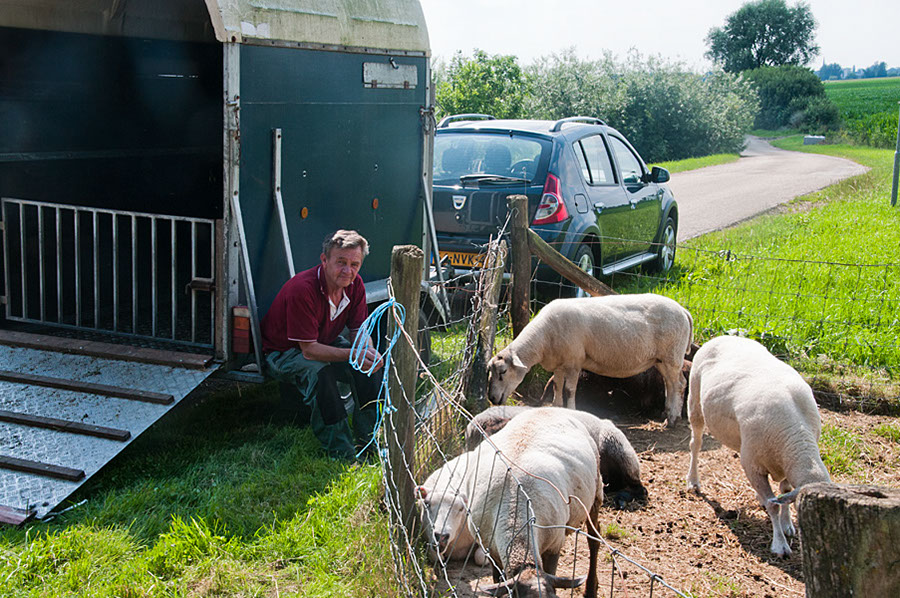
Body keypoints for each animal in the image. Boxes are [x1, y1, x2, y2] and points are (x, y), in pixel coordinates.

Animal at [460, 408, 628, 598]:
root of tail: (546, 409)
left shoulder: (554, 546)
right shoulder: (491, 551)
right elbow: (498, 580)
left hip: (595, 493)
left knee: (594, 538)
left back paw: (591, 588)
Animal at [488, 294, 692, 426]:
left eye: (503, 372)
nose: (492, 398)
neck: (543, 339)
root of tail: (683, 311)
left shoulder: (574, 362)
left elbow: (569, 390)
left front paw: (571, 410)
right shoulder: (559, 364)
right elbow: (557, 387)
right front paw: (556, 408)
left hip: (672, 356)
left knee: (679, 384)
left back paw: (672, 419)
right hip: (661, 359)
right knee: (670, 385)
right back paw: (667, 412)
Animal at [684, 338, 832, 556]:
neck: (796, 438)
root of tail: (723, 337)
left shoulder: (783, 462)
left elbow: (784, 491)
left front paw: (787, 524)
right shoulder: (753, 466)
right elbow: (773, 506)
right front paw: (780, 545)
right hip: (695, 401)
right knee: (695, 444)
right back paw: (693, 481)